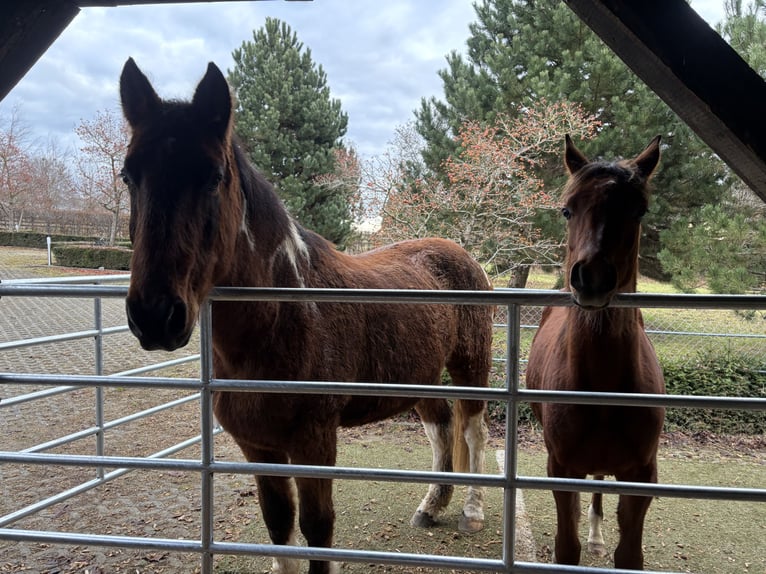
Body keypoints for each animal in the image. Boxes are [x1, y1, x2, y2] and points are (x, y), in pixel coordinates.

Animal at [118, 58, 494, 574]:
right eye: (128, 176)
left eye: (213, 177)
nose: (155, 315)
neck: (282, 321)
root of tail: (459, 253)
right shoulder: (258, 445)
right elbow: (279, 523)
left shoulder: (314, 442)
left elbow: (318, 528)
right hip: (420, 376)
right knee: (440, 428)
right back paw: (431, 505)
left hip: (470, 366)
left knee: (473, 433)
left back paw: (473, 512)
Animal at [525, 135, 666, 570]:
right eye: (567, 209)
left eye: (638, 210)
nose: (592, 278)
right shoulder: (561, 468)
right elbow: (566, 547)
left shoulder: (642, 475)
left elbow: (630, 555)